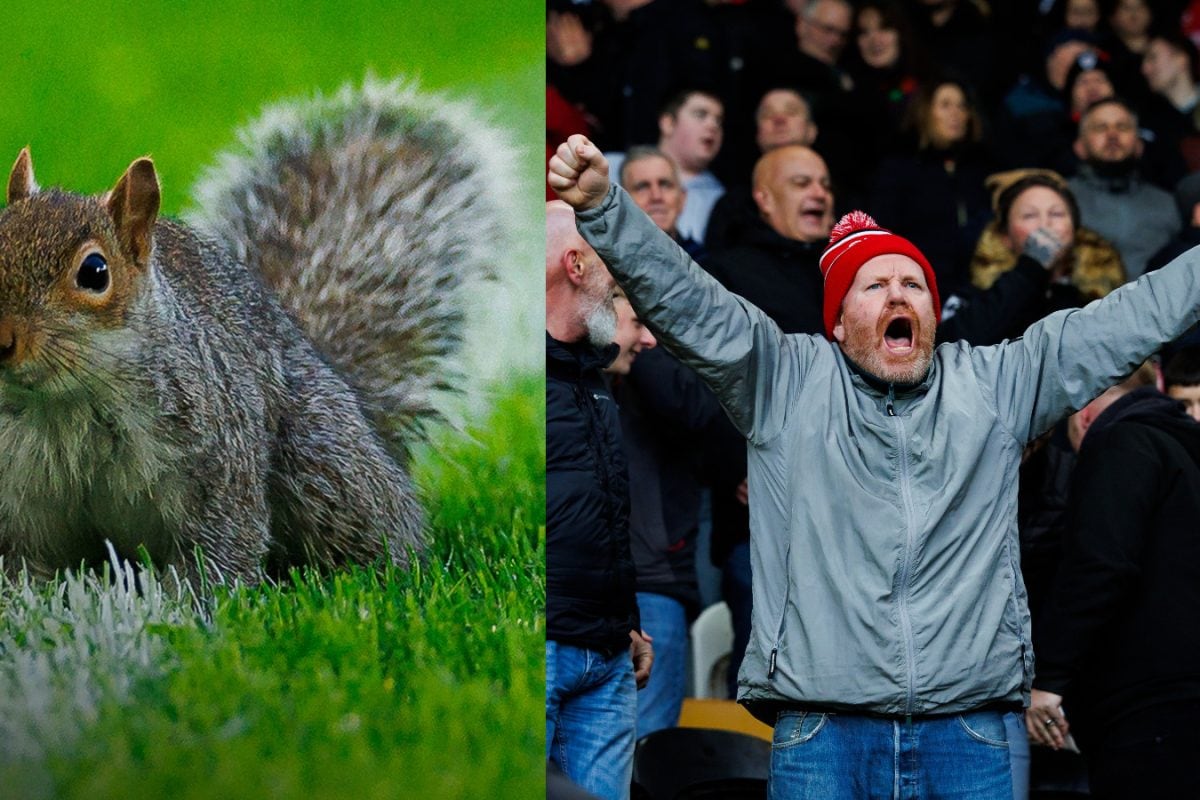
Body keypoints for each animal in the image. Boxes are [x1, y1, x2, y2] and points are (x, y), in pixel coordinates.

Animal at [0, 78, 512, 586]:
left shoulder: (218, 452)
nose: (3, 339)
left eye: (95, 272)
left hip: (323, 460)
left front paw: (190, 603)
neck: (66, 402)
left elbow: (224, 540)